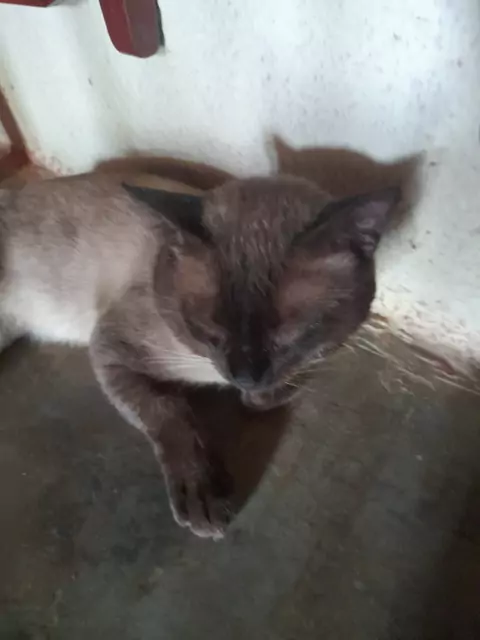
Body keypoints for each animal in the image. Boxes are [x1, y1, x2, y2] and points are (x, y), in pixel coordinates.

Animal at [0, 171, 400, 538]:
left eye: (288, 336)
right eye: (212, 334)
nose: (244, 376)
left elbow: (283, 385)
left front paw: (267, 390)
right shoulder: (111, 347)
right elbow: (172, 412)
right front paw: (202, 495)